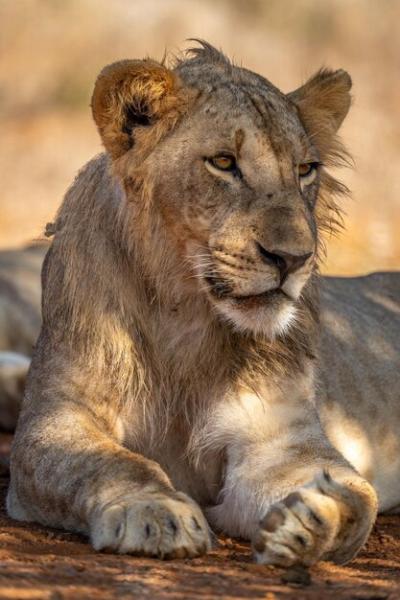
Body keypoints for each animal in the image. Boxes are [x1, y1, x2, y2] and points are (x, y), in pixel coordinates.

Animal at [3, 42, 400, 568]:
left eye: (305, 170)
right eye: (223, 162)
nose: (293, 259)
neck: (183, 315)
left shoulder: (278, 442)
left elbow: (355, 496)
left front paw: (309, 522)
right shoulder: (56, 421)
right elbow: (111, 463)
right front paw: (155, 511)